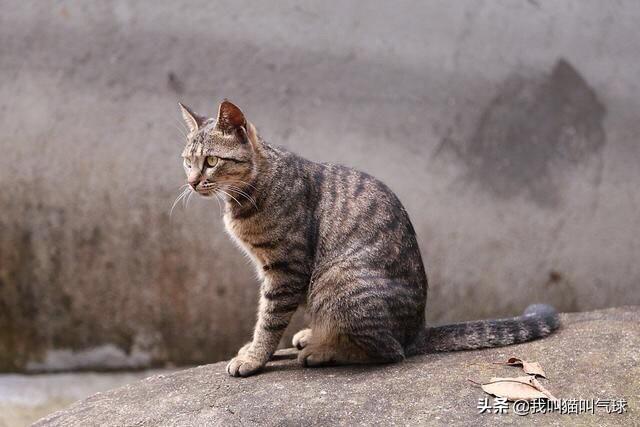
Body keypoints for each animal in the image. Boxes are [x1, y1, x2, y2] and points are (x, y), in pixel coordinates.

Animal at [178, 99, 556, 378]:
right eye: (187, 162)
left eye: (211, 160)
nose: (192, 182)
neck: (251, 189)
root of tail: (418, 329)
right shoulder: (275, 270)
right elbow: (266, 314)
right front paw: (256, 349)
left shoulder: (286, 270)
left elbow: (269, 319)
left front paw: (255, 357)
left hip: (336, 279)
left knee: (389, 351)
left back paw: (324, 350)